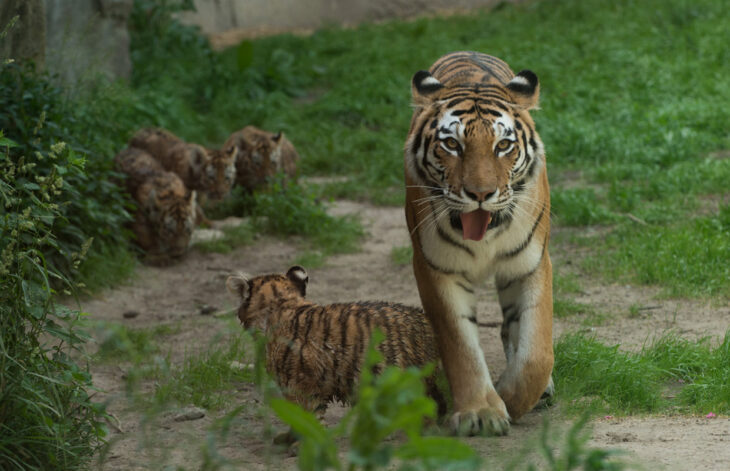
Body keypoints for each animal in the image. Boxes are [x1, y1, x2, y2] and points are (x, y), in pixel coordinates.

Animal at [404, 49, 552, 436]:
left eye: (503, 145)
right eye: (452, 144)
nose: (481, 194)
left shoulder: (530, 264)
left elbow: (536, 351)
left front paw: (512, 398)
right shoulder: (435, 268)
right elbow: (461, 346)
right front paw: (482, 412)